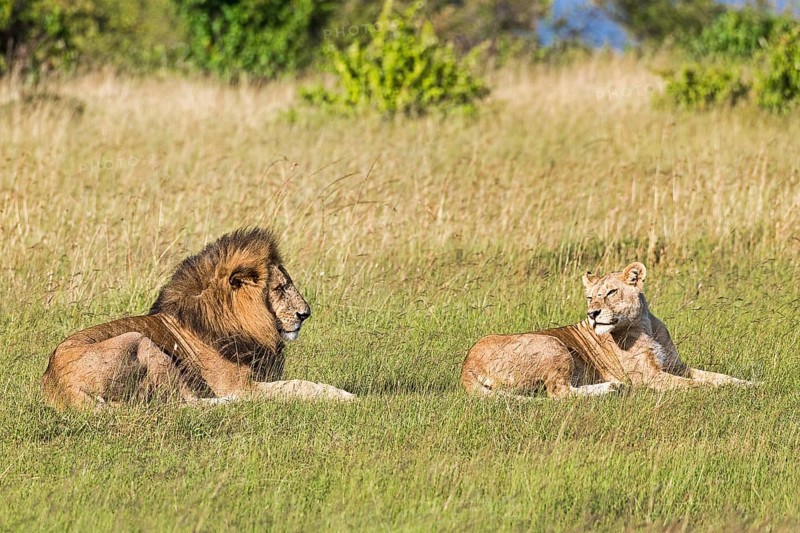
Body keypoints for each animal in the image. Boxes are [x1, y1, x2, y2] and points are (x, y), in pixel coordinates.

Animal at [42, 227, 356, 409]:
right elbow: (295, 386)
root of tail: (59, 385)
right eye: (279, 288)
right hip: (141, 341)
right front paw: (342, 395)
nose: (306, 313)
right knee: (187, 404)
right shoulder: (240, 384)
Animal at [461, 262, 755, 399]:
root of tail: (466, 364)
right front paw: (722, 392)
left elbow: (718, 376)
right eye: (590, 297)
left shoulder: (676, 366)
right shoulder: (649, 376)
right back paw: (612, 387)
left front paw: (750, 384)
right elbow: (696, 385)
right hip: (551, 344)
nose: (592, 314)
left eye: (611, 292)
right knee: (559, 393)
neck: (645, 325)